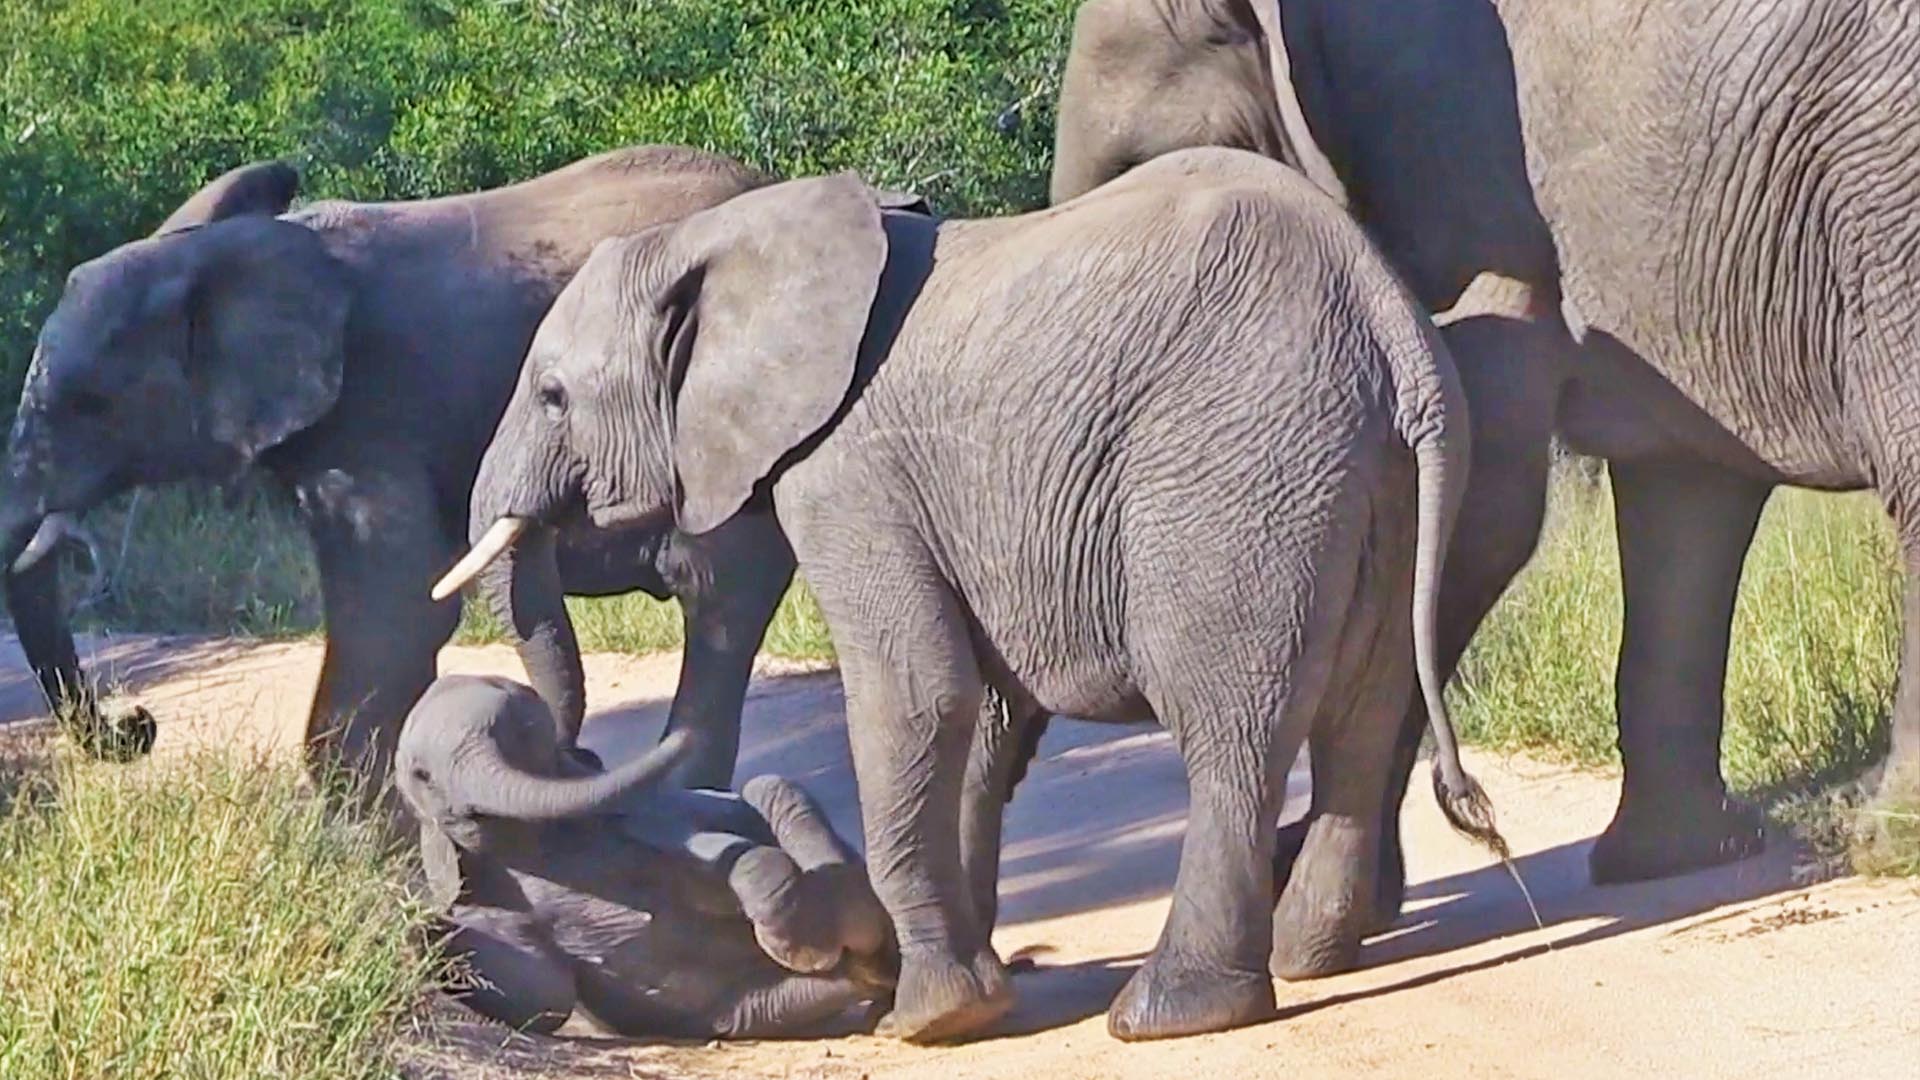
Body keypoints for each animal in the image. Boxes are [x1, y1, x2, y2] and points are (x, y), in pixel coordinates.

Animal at [1, 146, 796, 791]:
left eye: (88, 404)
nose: (136, 724)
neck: (214, 256)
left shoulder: (375, 407)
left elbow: (398, 609)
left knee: (718, 593)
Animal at [396, 674, 894, 1038]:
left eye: (521, 731)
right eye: (422, 776)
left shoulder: (637, 815)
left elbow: (709, 848)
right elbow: (544, 992)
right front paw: (418, 929)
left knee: (770, 788)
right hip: (751, 1010)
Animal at [1049, 0, 1920, 924]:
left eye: (1147, 167)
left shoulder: (1458, 172)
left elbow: (1476, 510)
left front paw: (1316, 892)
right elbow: (1682, 505)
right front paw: (1675, 858)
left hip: (1887, 176)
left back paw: (1887, 841)